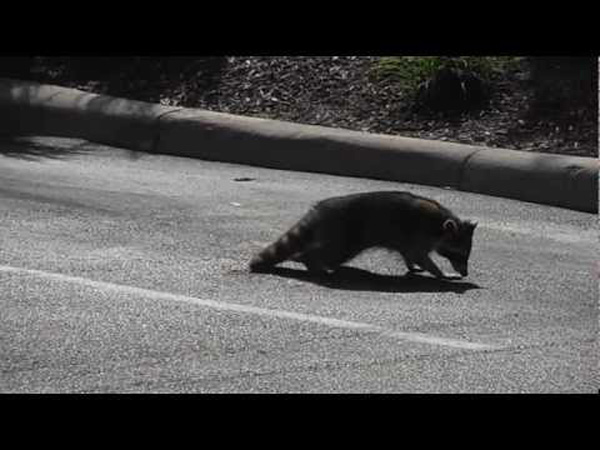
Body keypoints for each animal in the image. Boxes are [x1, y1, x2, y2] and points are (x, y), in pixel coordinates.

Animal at [250, 190, 478, 278]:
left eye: (467, 255)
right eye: (458, 254)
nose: (465, 273)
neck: (440, 225)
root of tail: (318, 212)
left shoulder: (409, 240)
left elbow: (409, 254)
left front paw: (412, 266)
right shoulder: (419, 233)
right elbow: (420, 255)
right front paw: (440, 273)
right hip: (346, 234)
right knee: (329, 253)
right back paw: (308, 260)